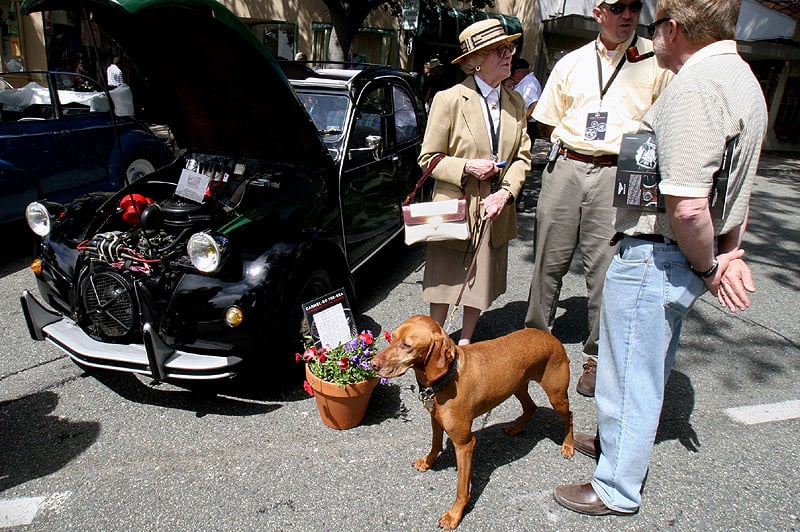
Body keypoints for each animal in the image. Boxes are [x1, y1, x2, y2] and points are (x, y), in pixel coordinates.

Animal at [372, 316, 572, 528]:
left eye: (407, 345)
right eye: (392, 338)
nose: (372, 364)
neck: (447, 378)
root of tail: (550, 337)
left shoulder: (465, 444)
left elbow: (462, 487)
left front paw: (454, 514)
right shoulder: (436, 419)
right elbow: (435, 444)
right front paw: (427, 462)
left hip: (556, 396)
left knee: (569, 416)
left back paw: (568, 446)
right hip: (517, 386)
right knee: (531, 407)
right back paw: (516, 427)